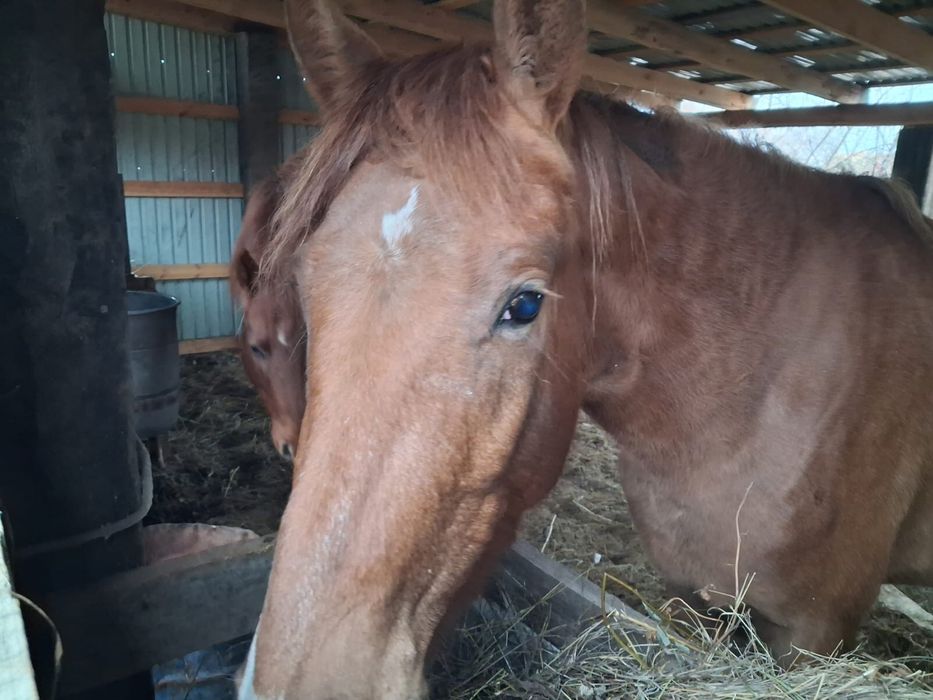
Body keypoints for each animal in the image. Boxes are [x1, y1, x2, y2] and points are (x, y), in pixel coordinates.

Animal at [238, 0, 933, 696]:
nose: (305, 681)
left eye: (524, 305)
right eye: (304, 285)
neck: (754, 388)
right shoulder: (688, 595)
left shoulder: (815, 630)